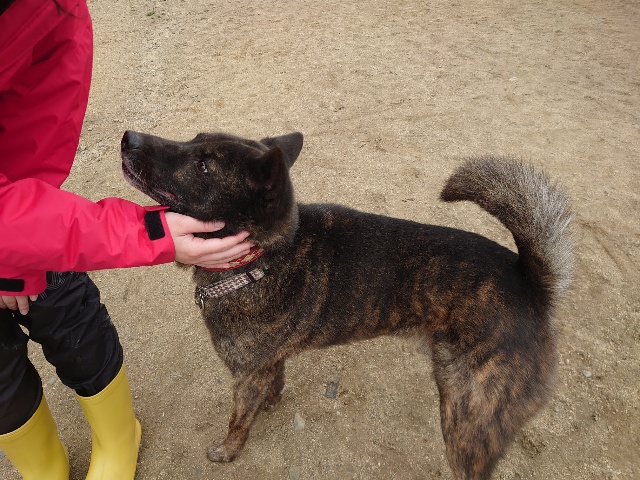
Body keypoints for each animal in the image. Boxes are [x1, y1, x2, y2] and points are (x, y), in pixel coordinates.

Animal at [120, 130, 573, 480]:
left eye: (203, 166)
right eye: (193, 139)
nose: (129, 137)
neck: (262, 258)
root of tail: (531, 284)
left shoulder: (245, 375)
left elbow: (237, 421)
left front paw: (227, 452)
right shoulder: (267, 362)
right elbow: (274, 382)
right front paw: (272, 402)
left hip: (467, 425)